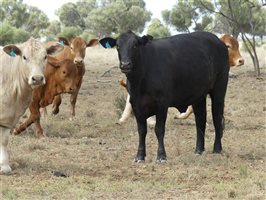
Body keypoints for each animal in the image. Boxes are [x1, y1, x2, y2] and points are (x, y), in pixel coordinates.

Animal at [0, 37, 60, 175]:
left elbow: (4, 140)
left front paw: (5, 166)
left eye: (45, 56)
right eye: (24, 57)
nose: (37, 78)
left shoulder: (8, 116)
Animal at [100, 30, 229, 162]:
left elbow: (159, 129)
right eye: (118, 46)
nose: (125, 65)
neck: (140, 80)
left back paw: (217, 149)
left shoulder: (162, 103)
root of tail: (217, 40)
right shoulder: (136, 104)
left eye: (135, 45)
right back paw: (199, 150)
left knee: (217, 117)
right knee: (200, 119)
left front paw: (161, 156)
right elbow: (142, 130)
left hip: (219, 88)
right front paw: (140, 156)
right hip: (199, 95)